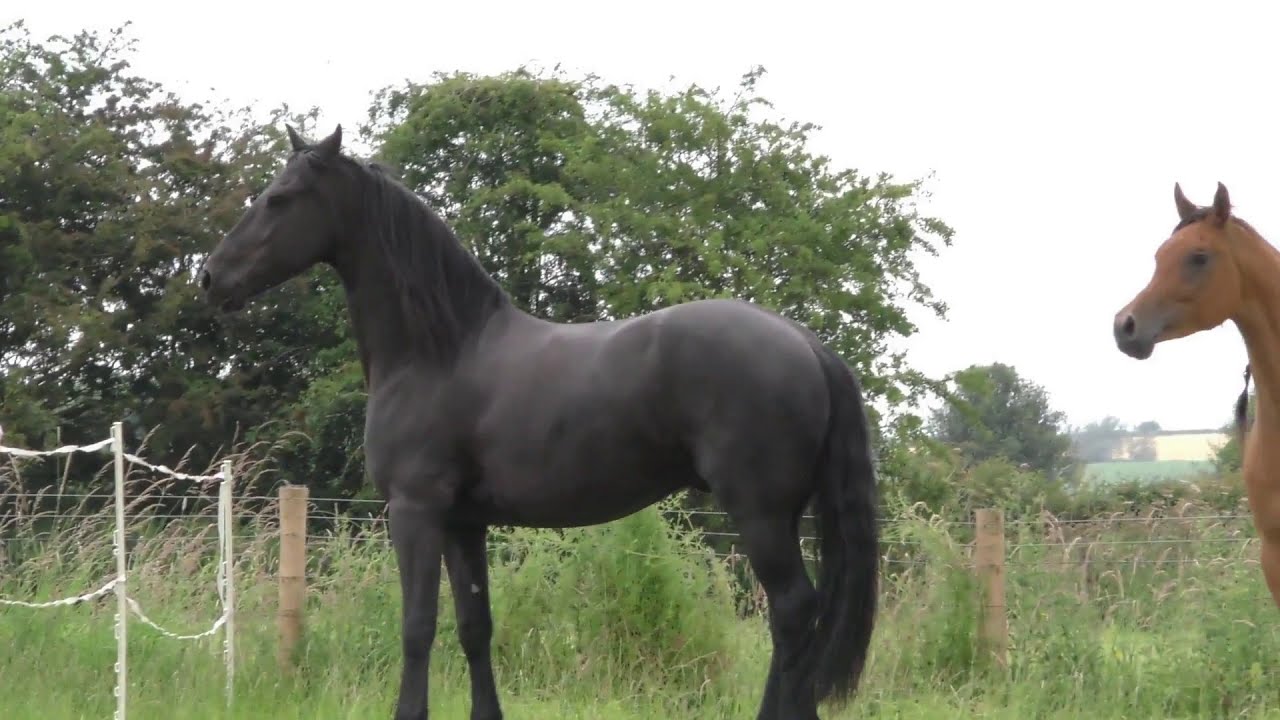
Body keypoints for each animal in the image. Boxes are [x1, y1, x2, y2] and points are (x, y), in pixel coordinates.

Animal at [198, 124, 881, 720]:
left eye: (280, 198)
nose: (210, 278)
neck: (441, 351)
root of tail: (804, 343)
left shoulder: (415, 511)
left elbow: (417, 626)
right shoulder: (463, 524)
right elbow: (475, 626)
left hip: (759, 514)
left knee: (792, 613)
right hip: (784, 515)